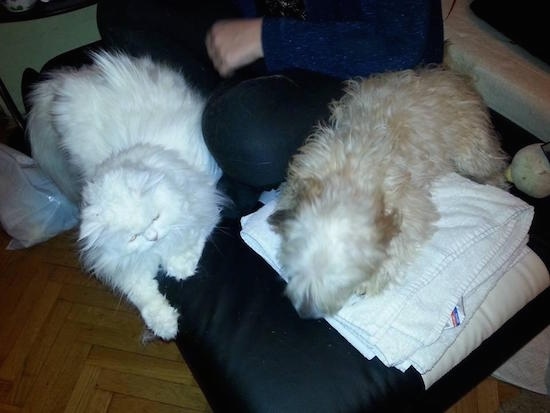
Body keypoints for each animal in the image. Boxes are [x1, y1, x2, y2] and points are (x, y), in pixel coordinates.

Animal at [27, 50, 225, 340]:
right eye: (133, 237)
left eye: (155, 218)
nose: (152, 237)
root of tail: (66, 77)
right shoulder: (124, 265)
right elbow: (143, 295)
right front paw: (165, 326)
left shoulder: (206, 202)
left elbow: (190, 237)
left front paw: (181, 267)